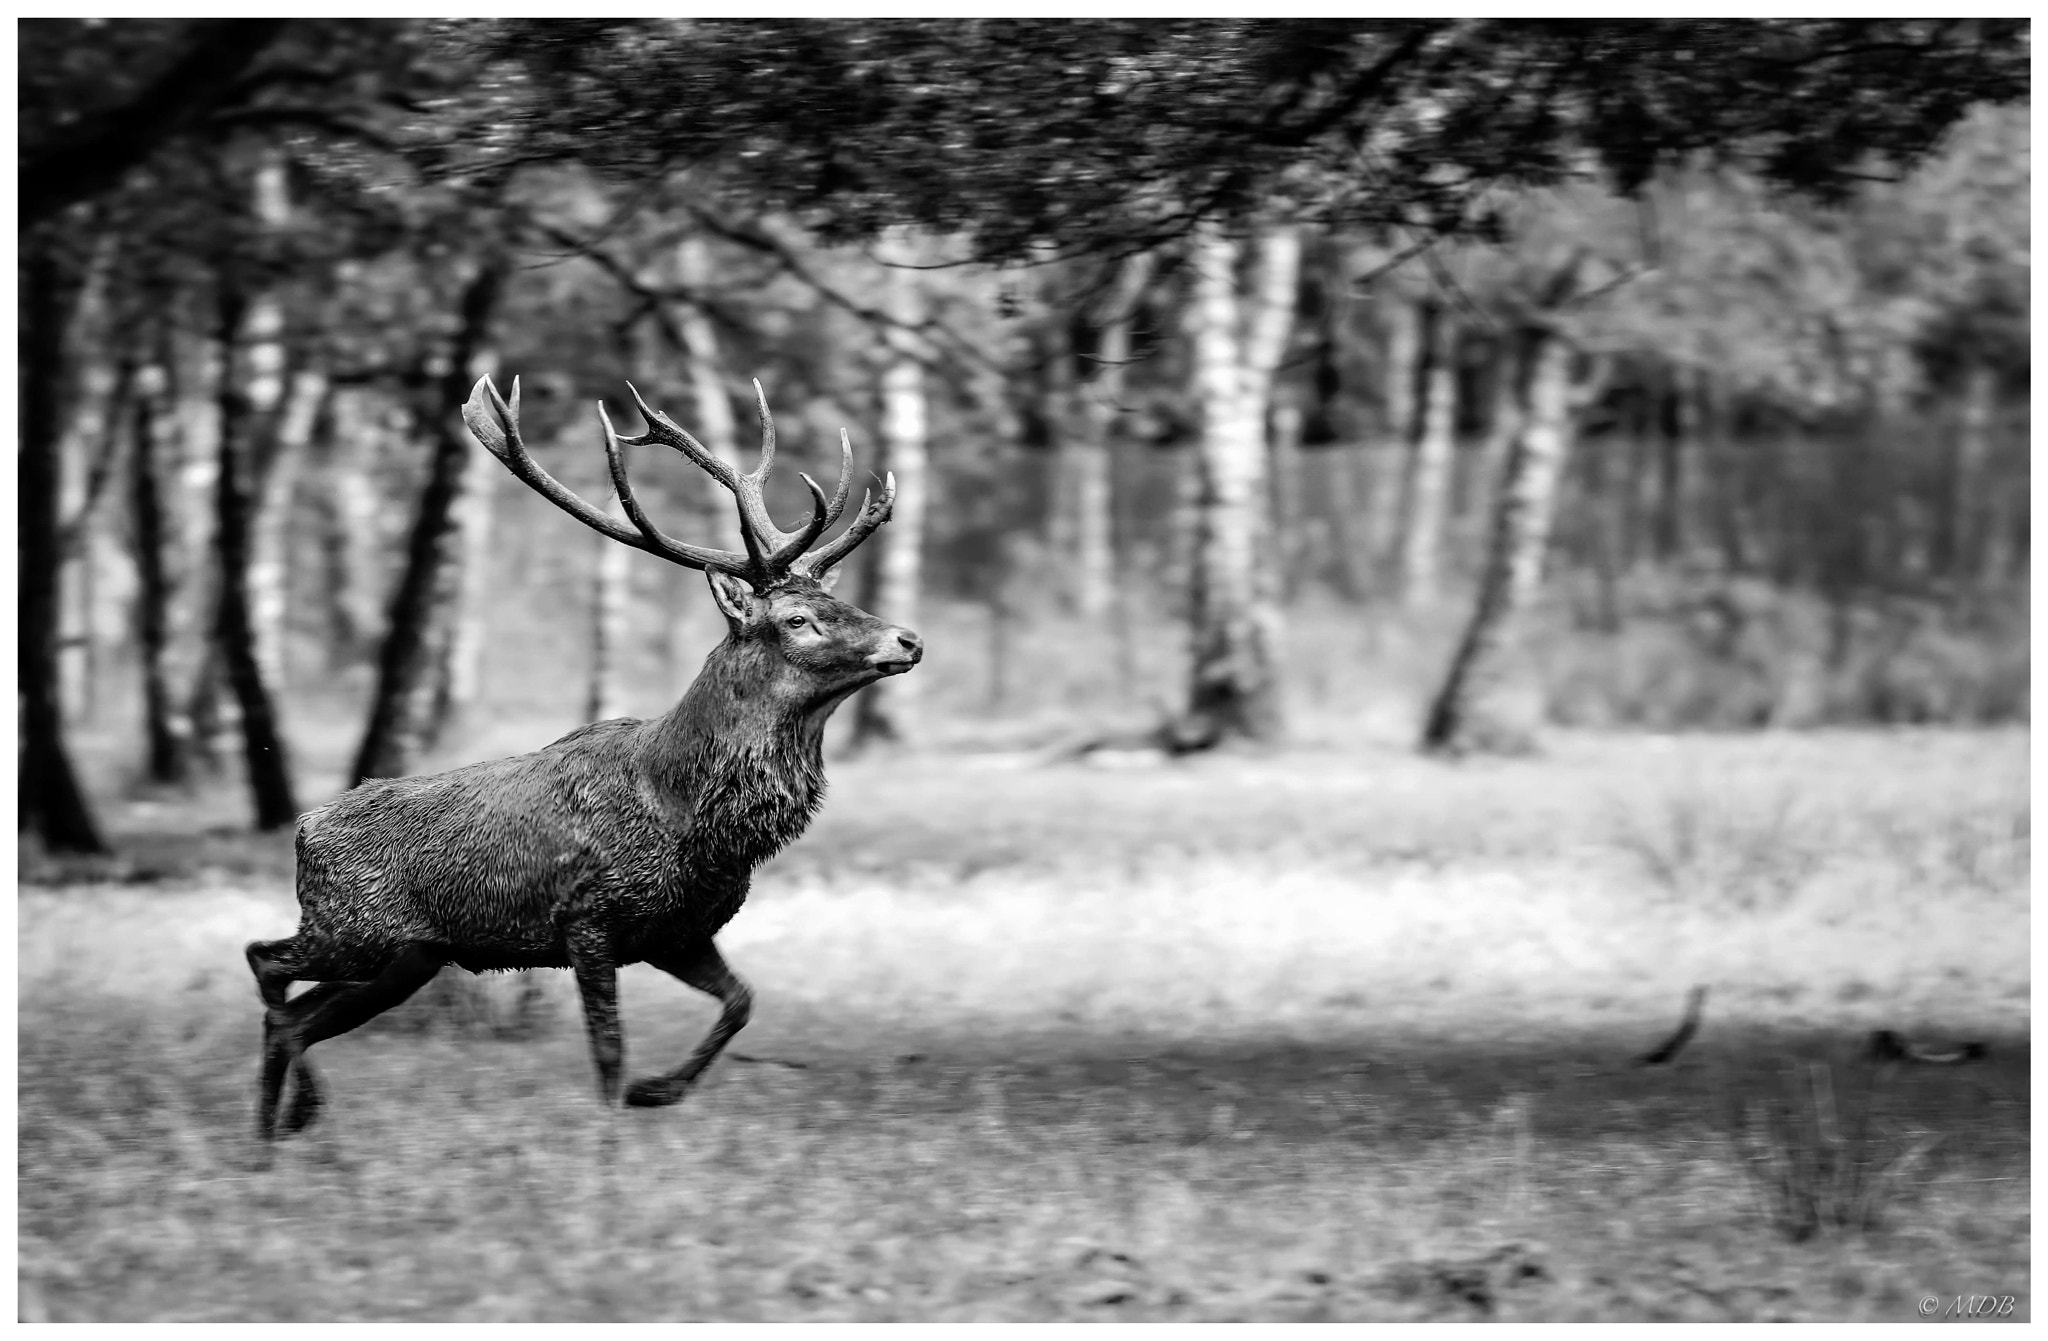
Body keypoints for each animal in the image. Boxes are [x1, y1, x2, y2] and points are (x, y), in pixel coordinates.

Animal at [244, 375, 919, 1140]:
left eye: (839, 598)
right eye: (798, 620)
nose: (907, 639)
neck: (692, 819)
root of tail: (304, 829)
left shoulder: (679, 932)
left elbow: (741, 1001)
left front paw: (658, 1091)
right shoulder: (587, 919)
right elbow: (608, 1052)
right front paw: (615, 1130)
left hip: (404, 957)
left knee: (294, 1018)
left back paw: (279, 1133)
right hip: (354, 927)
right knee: (264, 964)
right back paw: (287, 1120)